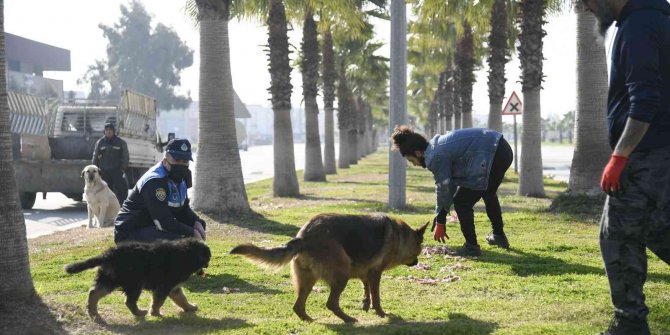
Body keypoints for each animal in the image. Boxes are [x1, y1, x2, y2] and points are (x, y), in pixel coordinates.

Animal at [64, 238, 210, 322]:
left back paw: (93, 313)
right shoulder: (164, 286)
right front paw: (155, 313)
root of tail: (109, 254)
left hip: (109, 279)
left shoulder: (174, 287)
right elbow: (158, 301)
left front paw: (190, 307)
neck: (186, 252)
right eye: (207, 259)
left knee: (94, 293)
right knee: (129, 301)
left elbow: (182, 299)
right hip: (134, 283)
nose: (208, 265)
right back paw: (140, 313)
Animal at [231, 215, 430, 322]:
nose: (417, 262)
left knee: (298, 306)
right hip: (342, 273)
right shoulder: (375, 273)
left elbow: (365, 288)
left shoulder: (364, 272)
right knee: (331, 303)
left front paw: (365, 303)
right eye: (419, 248)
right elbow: (376, 297)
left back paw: (309, 320)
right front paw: (380, 313)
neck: (401, 236)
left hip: (308, 281)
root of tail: (304, 236)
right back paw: (348, 319)